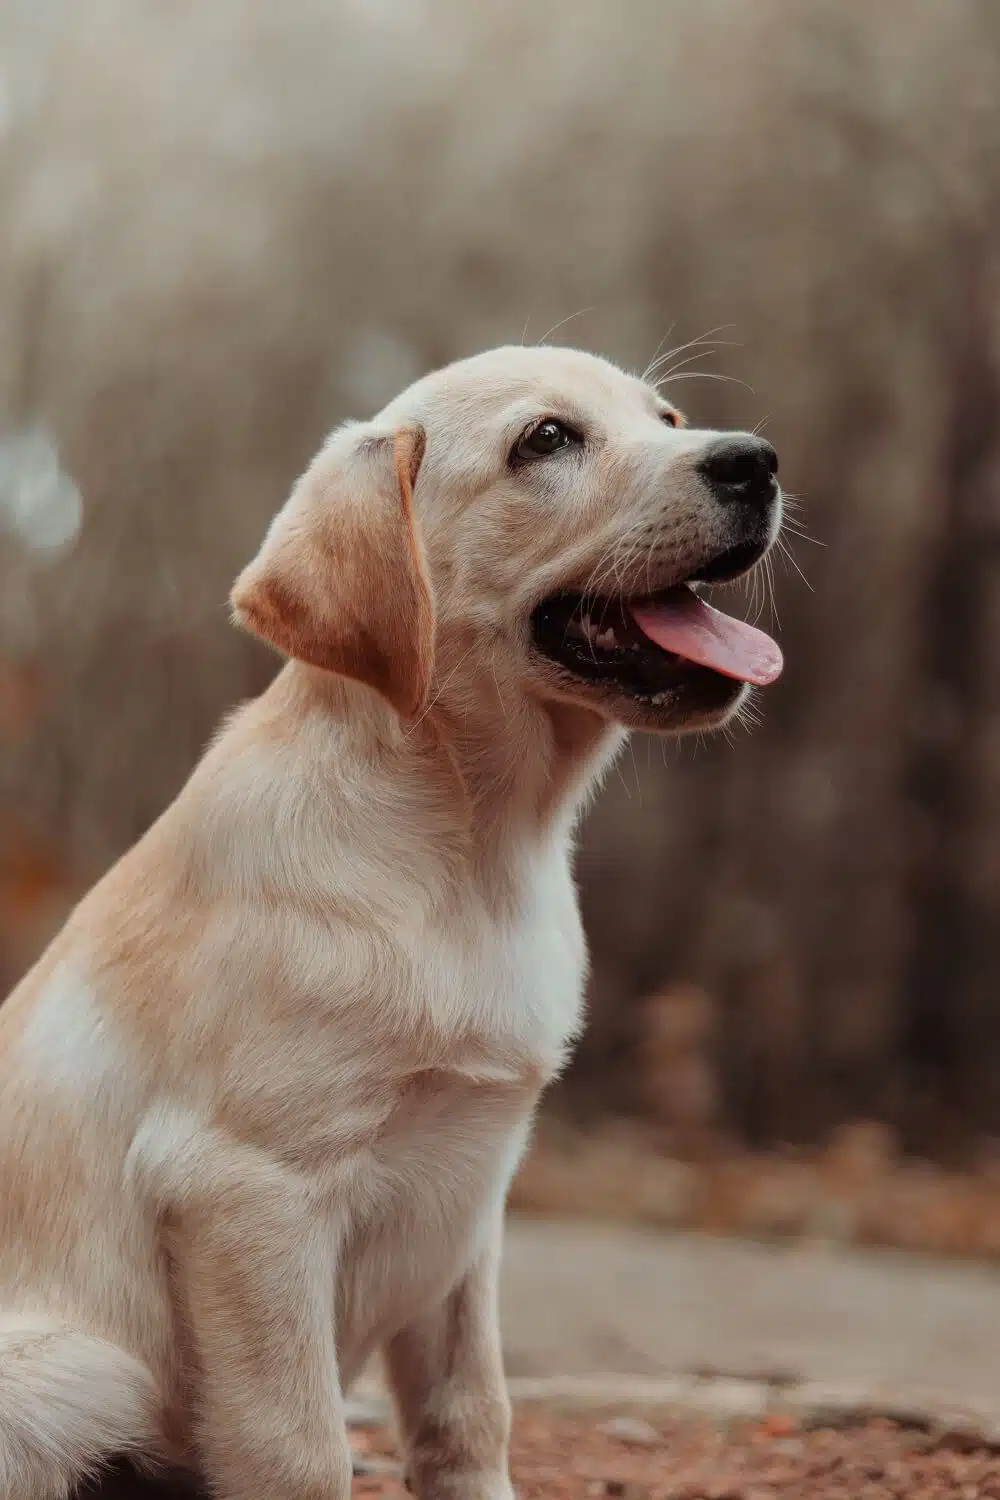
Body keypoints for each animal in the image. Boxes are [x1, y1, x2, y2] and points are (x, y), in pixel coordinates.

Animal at [0, 345, 779, 1494]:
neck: (473, 850)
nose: (755, 461)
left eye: (668, 417)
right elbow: (298, 1446)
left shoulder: (468, 1199)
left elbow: (470, 1413)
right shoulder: (247, 1188)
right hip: (78, 1364)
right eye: (546, 440)